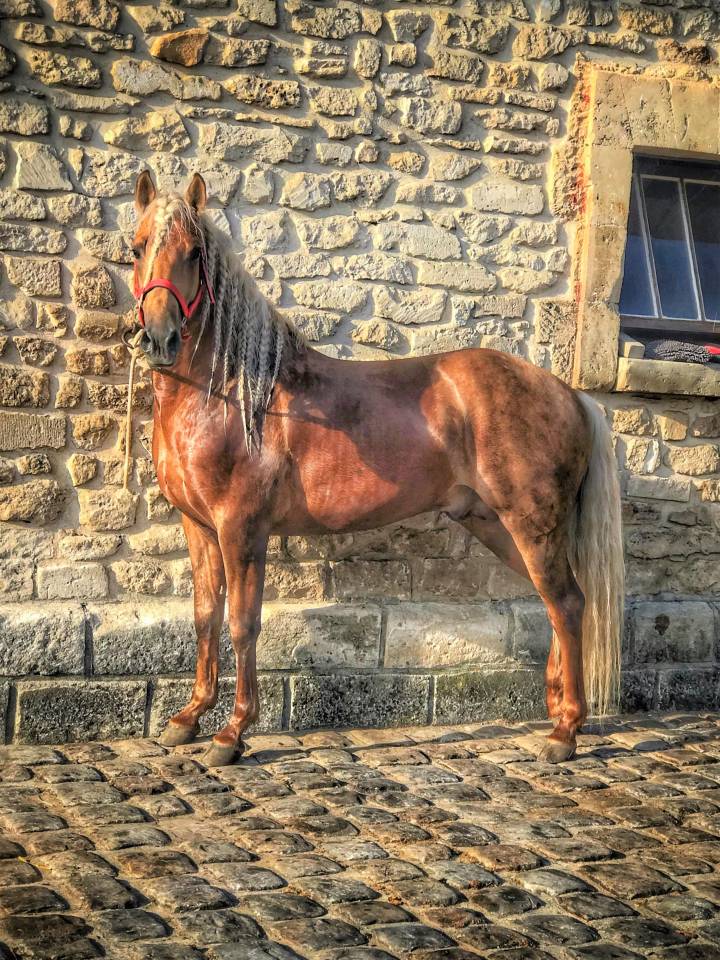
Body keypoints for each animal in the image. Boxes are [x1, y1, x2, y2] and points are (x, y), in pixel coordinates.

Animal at [130, 170, 624, 767]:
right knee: (555, 602)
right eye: (137, 248)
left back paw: (565, 732)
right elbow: (205, 615)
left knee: (569, 603)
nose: (159, 338)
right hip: (498, 526)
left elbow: (242, 623)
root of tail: (568, 392)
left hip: (532, 526)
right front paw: (187, 719)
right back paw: (555, 712)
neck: (233, 393)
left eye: (194, 253)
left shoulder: (240, 530)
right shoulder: (199, 527)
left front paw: (232, 734)